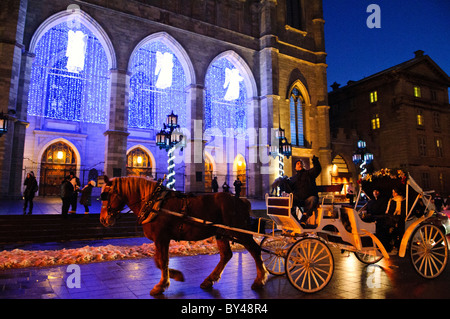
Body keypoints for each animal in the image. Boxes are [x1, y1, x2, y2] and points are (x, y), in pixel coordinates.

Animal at [100, 176, 266, 296]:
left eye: (106, 195)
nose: (103, 220)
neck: (154, 204)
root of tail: (241, 200)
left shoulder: (162, 237)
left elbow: (162, 261)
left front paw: (162, 285)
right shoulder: (160, 239)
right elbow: (158, 261)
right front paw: (175, 275)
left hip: (240, 232)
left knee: (255, 250)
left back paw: (260, 279)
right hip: (221, 233)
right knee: (226, 255)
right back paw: (209, 280)